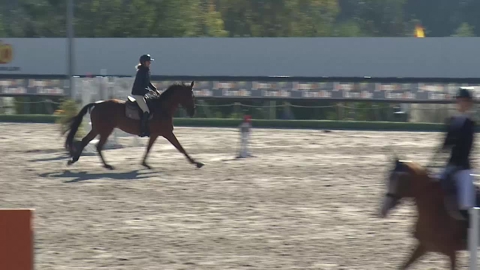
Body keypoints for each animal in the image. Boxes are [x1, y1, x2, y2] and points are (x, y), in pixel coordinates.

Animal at [62, 80, 203, 170]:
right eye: (190, 96)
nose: (193, 112)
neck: (163, 108)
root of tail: (97, 104)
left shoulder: (156, 134)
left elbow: (148, 148)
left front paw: (145, 164)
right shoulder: (167, 132)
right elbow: (180, 147)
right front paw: (196, 162)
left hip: (98, 129)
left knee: (86, 141)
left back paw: (73, 160)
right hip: (105, 130)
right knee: (97, 145)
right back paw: (106, 165)